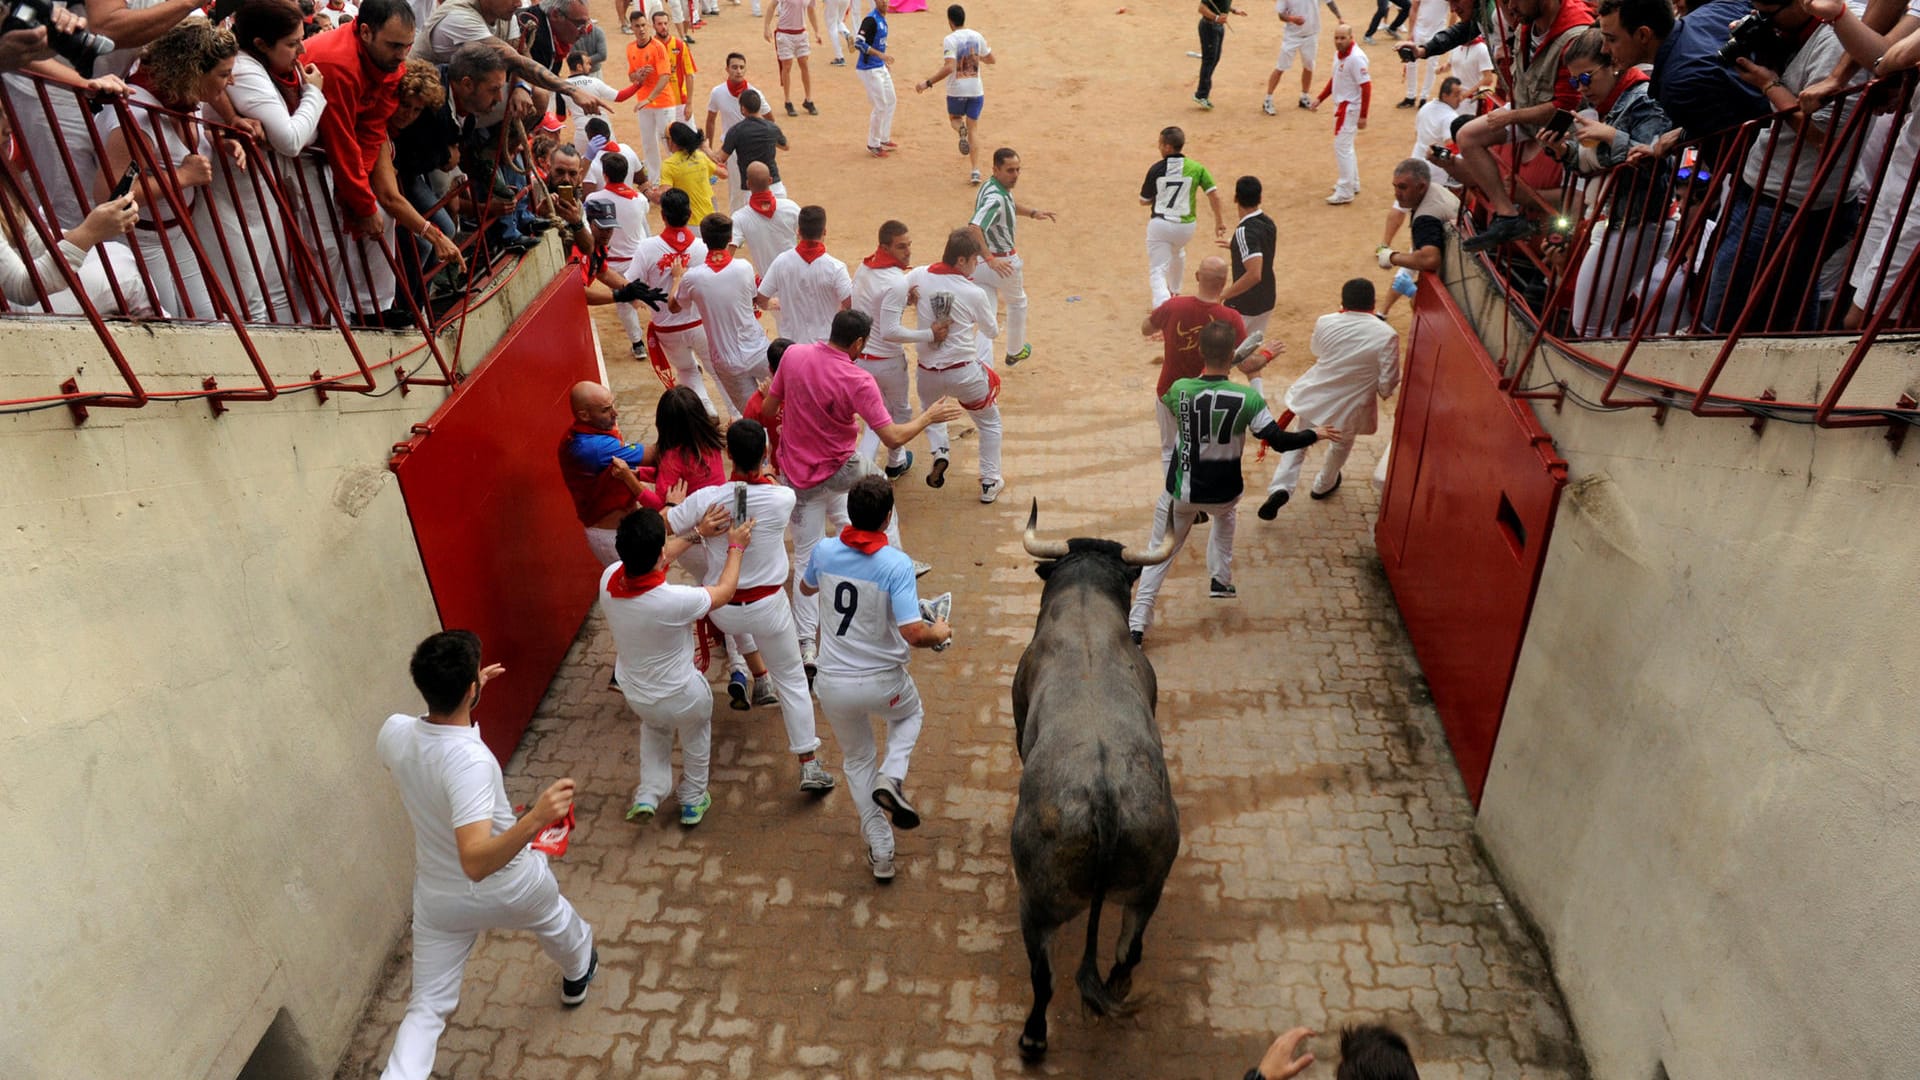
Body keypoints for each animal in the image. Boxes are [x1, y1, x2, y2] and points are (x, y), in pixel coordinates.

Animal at [1013, 499, 1175, 1053]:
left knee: (1043, 978)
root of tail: (1104, 800)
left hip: (1037, 904)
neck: (1084, 602)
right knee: (1128, 954)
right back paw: (1116, 989)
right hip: (1147, 890)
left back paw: (1033, 1038)